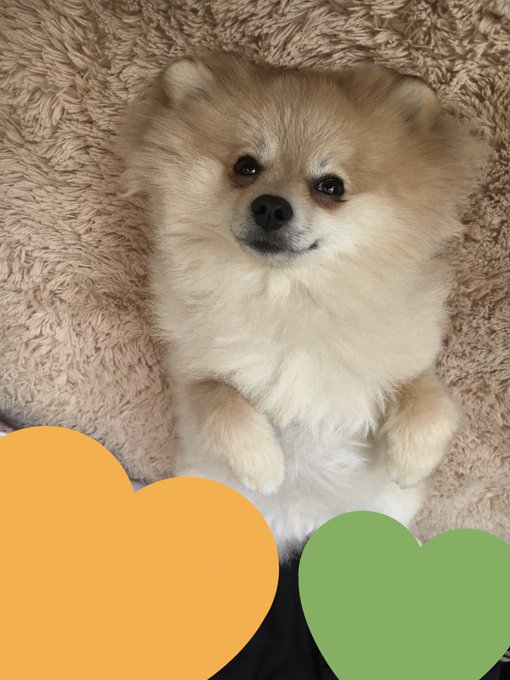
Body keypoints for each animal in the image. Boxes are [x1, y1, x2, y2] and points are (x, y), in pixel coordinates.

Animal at [119, 53, 484, 560]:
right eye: (246, 166)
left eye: (330, 186)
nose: (271, 206)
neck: (289, 300)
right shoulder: (191, 371)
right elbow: (221, 401)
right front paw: (263, 465)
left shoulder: (410, 363)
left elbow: (428, 401)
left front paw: (411, 461)